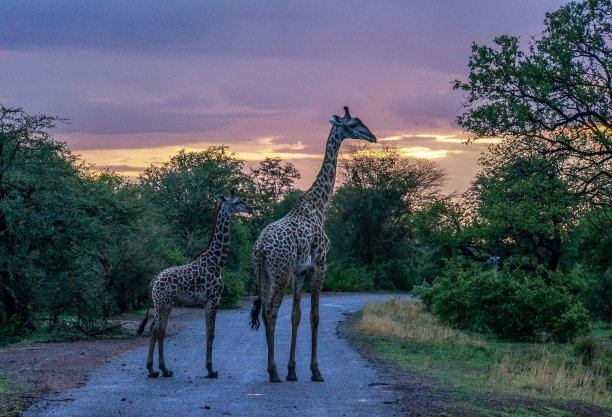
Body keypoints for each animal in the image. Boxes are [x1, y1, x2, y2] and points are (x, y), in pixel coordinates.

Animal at [137, 192, 252, 376]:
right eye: (236, 202)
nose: (250, 209)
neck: (216, 263)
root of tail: (153, 281)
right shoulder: (214, 298)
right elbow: (211, 333)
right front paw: (211, 370)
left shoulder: (208, 300)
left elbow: (208, 331)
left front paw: (209, 368)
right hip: (163, 302)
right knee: (156, 329)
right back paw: (154, 369)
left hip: (163, 303)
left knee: (158, 328)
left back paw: (161, 369)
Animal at [250, 106, 376, 380]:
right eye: (352, 125)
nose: (372, 136)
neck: (319, 208)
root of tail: (261, 249)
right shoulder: (320, 264)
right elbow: (315, 315)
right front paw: (315, 370)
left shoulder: (300, 272)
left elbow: (296, 315)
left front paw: (293, 370)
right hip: (280, 272)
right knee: (271, 311)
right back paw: (272, 371)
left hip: (263, 274)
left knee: (265, 311)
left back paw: (275, 369)